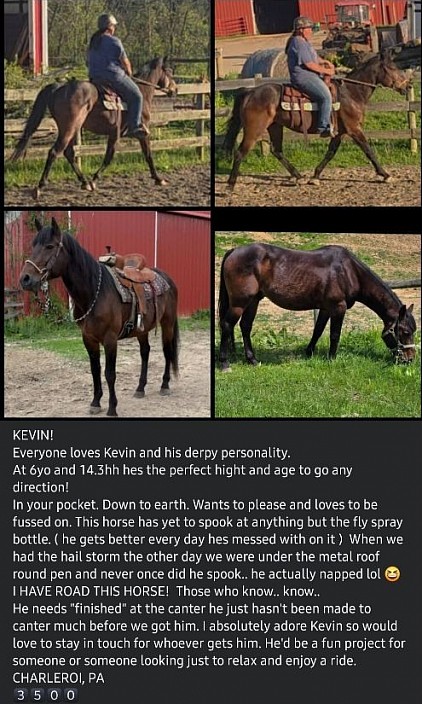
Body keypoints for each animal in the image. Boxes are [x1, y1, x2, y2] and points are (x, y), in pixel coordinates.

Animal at [9, 56, 177, 199]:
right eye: (169, 71)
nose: (175, 90)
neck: (142, 91)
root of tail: (60, 87)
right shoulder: (136, 133)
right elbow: (142, 156)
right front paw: (158, 179)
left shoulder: (116, 134)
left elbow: (127, 156)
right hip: (69, 129)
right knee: (54, 152)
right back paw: (39, 187)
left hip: (71, 129)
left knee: (69, 153)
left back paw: (83, 182)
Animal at [19, 218, 179, 417]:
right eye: (33, 246)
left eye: (49, 246)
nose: (25, 279)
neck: (95, 291)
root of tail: (167, 279)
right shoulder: (88, 339)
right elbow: (95, 370)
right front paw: (95, 403)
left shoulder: (110, 339)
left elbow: (110, 374)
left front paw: (112, 408)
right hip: (142, 330)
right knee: (145, 352)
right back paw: (140, 388)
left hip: (168, 324)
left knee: (167, 351)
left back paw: (165, 385)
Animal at [218, 243, 417, 370]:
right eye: (405, 332)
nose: (410, 359)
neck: (348, 271)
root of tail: (234, 251)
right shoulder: (338, 307)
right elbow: (334, 334)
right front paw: (332, 358)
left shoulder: (326, 308)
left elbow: (318, 330)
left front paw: (309, 352)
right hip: (240, 302)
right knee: (227, 325)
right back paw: (224, 363)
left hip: (253, 301)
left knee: (245, 326)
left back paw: (252, 360)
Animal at [223, 51, 412, 190]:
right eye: (392, 67)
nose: (408, 86)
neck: (351, 93)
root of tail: (250, 92)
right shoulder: (354, 129)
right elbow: (368, 150)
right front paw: (385, 174)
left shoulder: (339, 132)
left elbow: (330, 152)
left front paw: (315, 176)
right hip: (254, 129)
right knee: (240, 153)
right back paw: (230, 186)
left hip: (275, 126)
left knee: (277, 151)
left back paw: (298, 176)